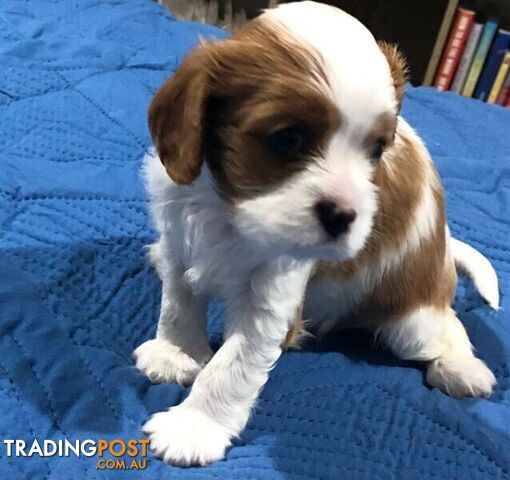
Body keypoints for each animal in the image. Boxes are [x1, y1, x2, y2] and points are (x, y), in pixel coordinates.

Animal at [133, 0, 500, 464]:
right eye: (287, 139)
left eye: (377, 150)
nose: (344, 216)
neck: (230, 212)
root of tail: (444, 250)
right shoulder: (181, 240)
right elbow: (177, 302)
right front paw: (175, 352)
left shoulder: (271, 301)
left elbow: (229, 366)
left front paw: (193, 428)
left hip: (413, 323)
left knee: (448, 328)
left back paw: (460, 368)